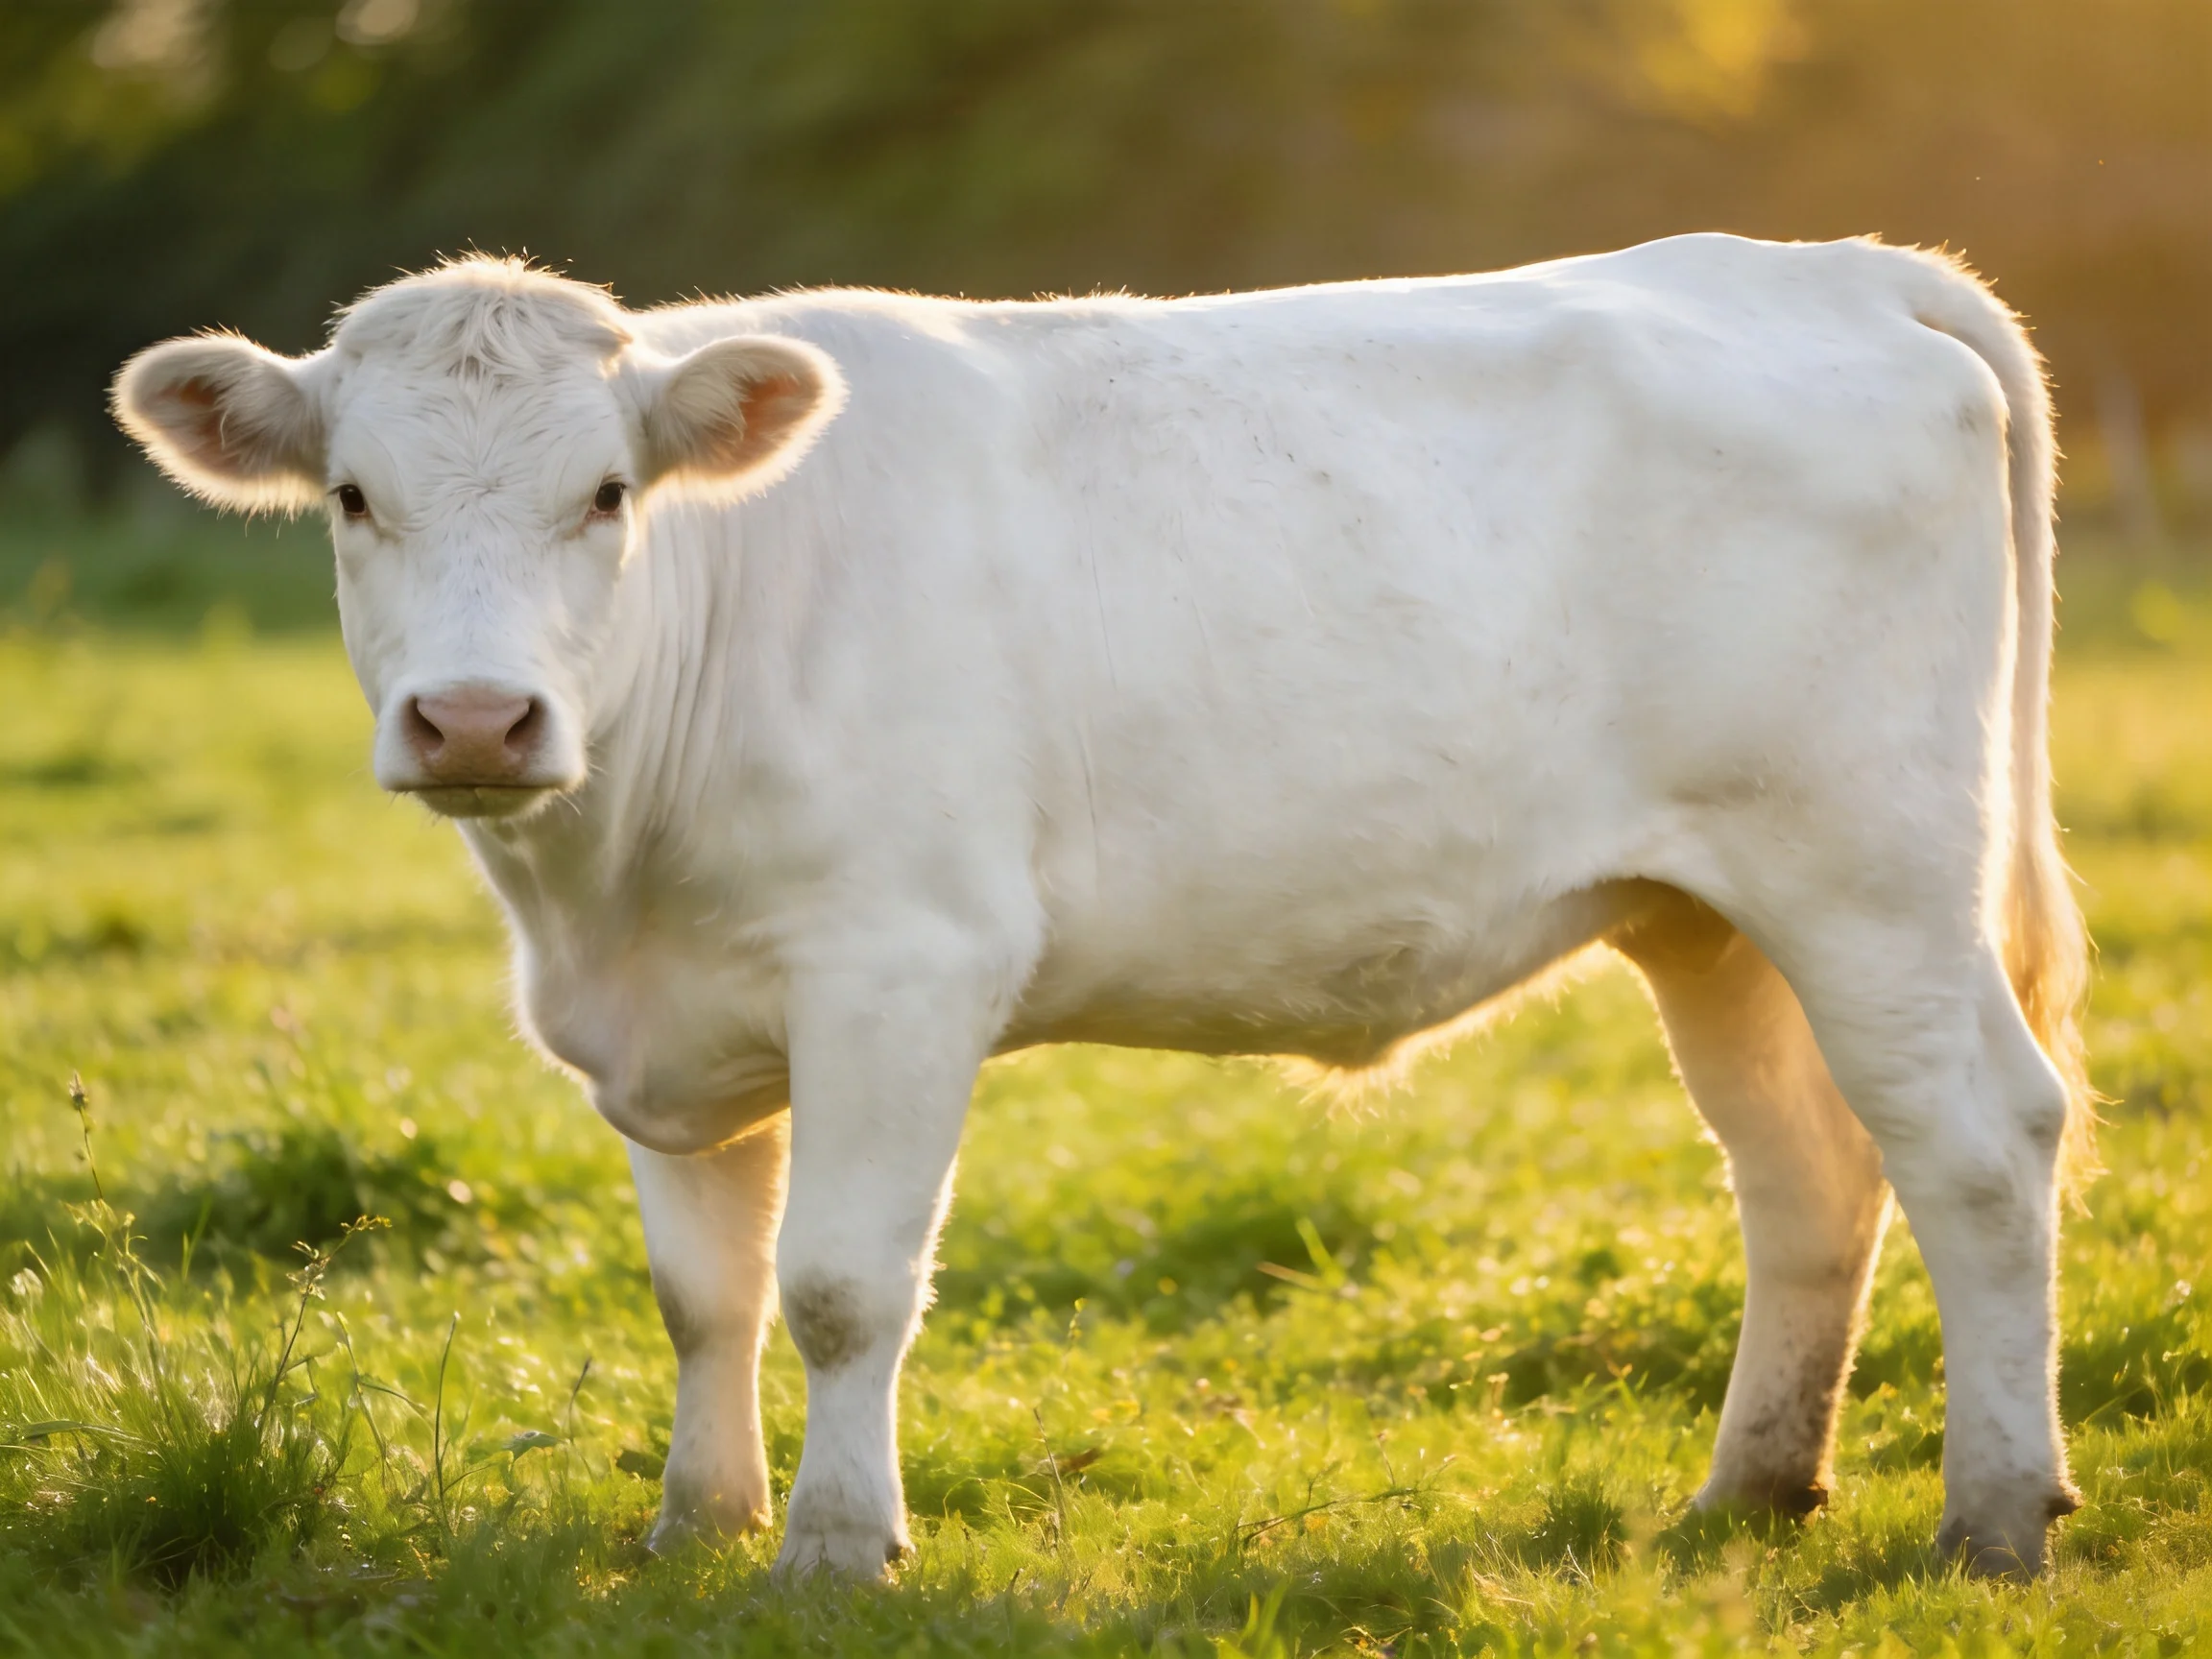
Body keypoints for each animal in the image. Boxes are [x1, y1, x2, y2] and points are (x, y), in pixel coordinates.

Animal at [112, 233, 2091, 1580]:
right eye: (351, 497)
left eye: (605, 493)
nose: (472, 718)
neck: (602, 888)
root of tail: (1817, 266)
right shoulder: (670, 1021)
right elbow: (702, 1291)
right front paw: (695, 1526)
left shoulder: (903, 966)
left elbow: (838, 1283)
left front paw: (833, 1545)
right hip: (1705, 910)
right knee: (1802, 1169)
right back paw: (1747, 1487)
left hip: (1867, 867)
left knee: (1977, 1141)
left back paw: (1993, 1510)